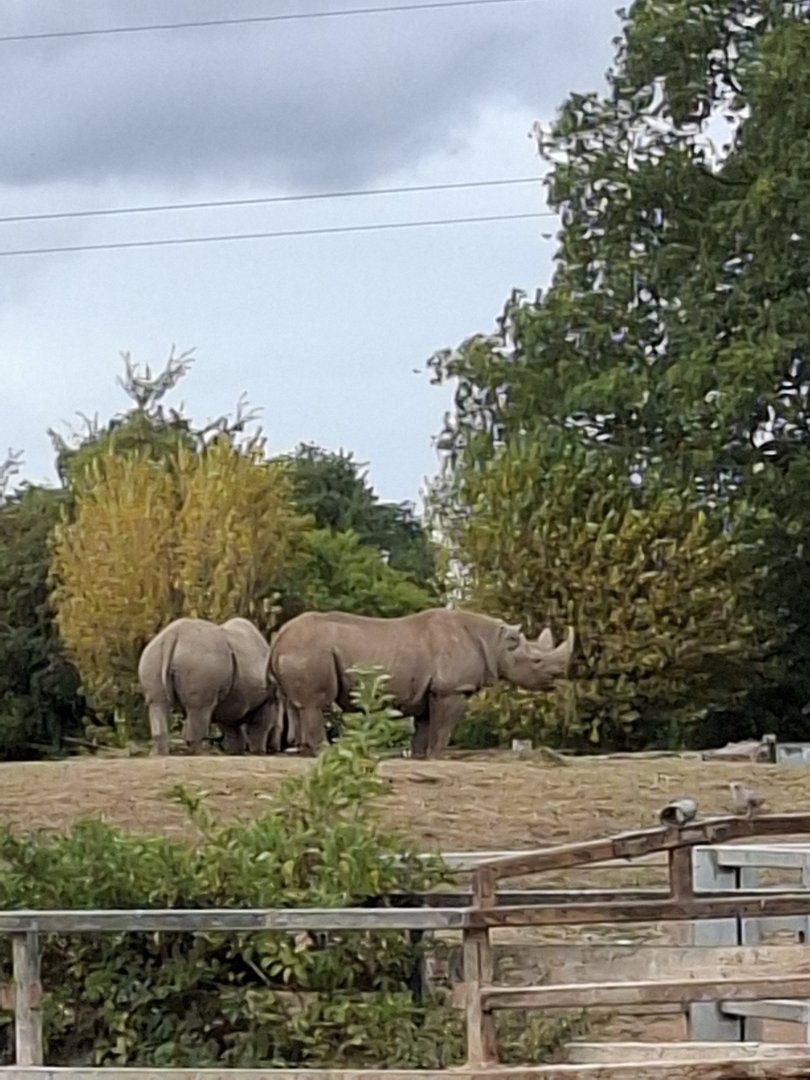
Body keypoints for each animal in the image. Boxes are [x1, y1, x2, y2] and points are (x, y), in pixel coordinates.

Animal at [138, 616, 279, 755]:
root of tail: (172, 635)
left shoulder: (232, 700)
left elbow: (232, 727)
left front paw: (236, 752)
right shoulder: (267, 699)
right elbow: (259, 727)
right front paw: (258, 752)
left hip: (153, 654)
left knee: (158, 703)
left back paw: (158, 755)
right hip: (201, 658)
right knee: (200, 707)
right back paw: (202, 754)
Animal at [267, 607, 574, 758]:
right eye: (536, 661)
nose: (558, 678)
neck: (495, 642)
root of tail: (279, 635)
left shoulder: (430, 691)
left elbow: (425, 728)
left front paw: (419, 756)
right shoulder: (451, 689)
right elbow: (443, 728)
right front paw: (439, 757)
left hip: (300, 648)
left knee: (297, 704)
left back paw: (307, 753)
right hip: (310, 649)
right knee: (314, 704)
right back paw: (327, 753)